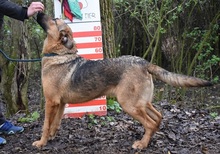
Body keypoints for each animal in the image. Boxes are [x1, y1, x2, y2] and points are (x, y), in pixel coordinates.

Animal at [31, 12, 212, 150]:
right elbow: (55, 123)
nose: (38, 11)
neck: (57, 55)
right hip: (142, 102)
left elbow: (45, 125)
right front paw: (52, 137)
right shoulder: (60, 103)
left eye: (54, 20)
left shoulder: (51, 102)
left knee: (150, 123)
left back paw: (142, 144)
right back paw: (148, 139)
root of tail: (145, 63)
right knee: (158, 117)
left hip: (129, 104)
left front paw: (41, 142)